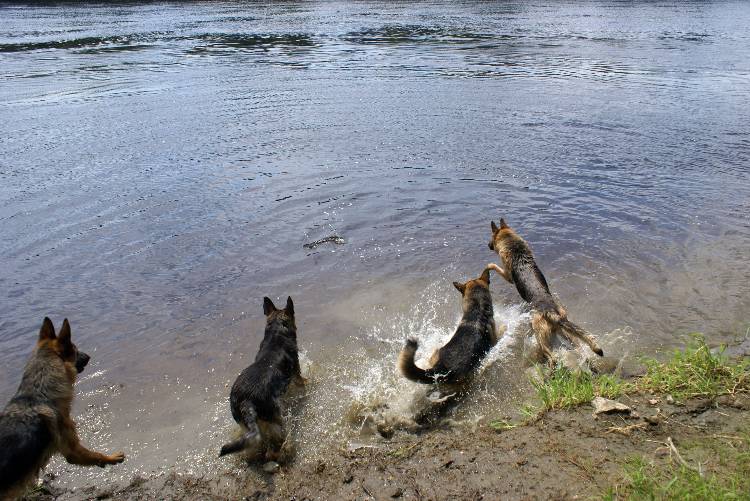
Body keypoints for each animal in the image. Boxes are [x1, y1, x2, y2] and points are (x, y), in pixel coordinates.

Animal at [0, 318, 126, 498]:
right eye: (75, 349)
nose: (89, 356)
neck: (38, 393)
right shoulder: (71, 447)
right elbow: (94, 454)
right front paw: (111, 458)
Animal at [220, 294, 306, 462]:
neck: (277, 333)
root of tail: (246, 400)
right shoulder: (296, 374)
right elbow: (303, 382)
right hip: (276, 418)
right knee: (272, 449)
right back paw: (283, 452)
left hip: (246, 425)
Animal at [488, 219, 604, 364]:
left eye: (491, 238)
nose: (488, 245)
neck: (512, 243)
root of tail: (552, 312)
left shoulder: (507, 276)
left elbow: (495, 266)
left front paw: (489, 266)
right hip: (565, 330)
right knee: (577, 344)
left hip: (539, 333)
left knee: (551, 355)